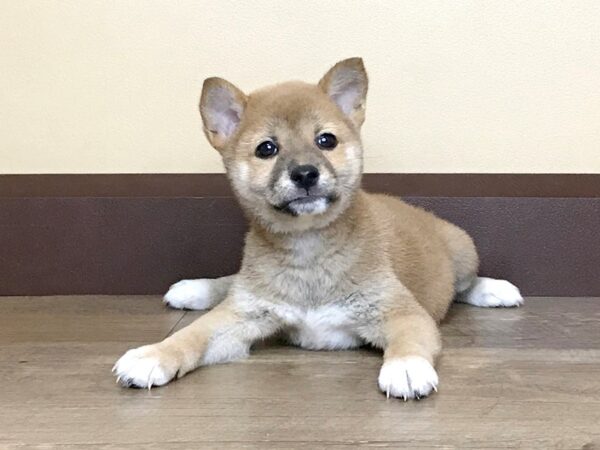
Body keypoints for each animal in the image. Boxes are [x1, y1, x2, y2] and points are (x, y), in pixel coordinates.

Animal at [113, 58, 524, 400]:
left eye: (326, 140)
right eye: (266, 149)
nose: (306, 173)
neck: (309, 249)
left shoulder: (401, 312)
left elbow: (409, 343)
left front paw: (406, 367)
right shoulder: (242, 316)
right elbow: (191, 334)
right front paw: (153, 354)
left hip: (464, 250)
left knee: (464, 286)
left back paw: (494, 290)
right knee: (233, 282)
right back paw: (196, 289)